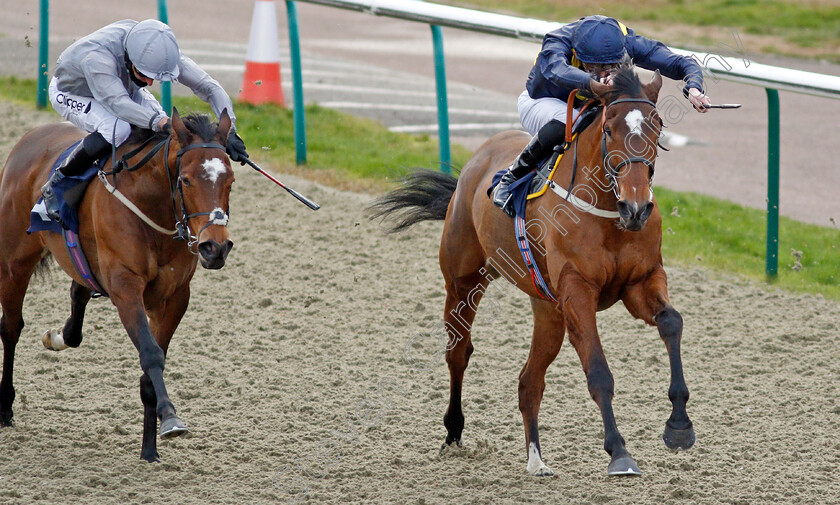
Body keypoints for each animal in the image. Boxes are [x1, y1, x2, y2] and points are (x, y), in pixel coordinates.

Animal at [1, 107, 236, 460]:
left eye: (230, 182)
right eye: (185, 180)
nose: (215, 247)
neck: (152, 206)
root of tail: (28, 138)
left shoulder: (175, 297)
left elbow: (153, 367)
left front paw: (149, 449)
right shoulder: (126, 287)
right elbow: (151, 355)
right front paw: (171, 418)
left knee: (78, 294)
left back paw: (59, 336)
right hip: (15, 261)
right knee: (11, 327)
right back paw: (5, 408)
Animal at [370, 65, 696, 474]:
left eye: (657, 127)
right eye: (609, 129)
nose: (636, 207)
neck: (608, 213)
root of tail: (477, 158)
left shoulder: (639, 281)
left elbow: (672, 322)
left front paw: (679, 425)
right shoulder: (577, 291)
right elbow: (598, 370)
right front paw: (620, 452)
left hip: (547, 309)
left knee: (529, 381)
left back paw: (536, 459)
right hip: (463, 280)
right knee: (458, 351)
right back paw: (454, 431)